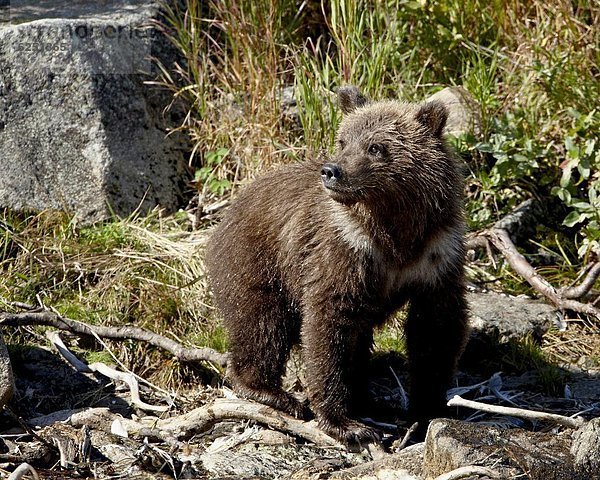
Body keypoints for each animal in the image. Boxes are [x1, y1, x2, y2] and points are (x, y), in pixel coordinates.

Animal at [206, 87, 468, 446]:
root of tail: (226, 213)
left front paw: (427, 408)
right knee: (262, 323)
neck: (394, 232)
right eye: (343, 140)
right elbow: (328, 324)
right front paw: (346, 423)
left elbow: (435, 328)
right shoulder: (344, 249)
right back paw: (272, 392)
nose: (332, 171)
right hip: (258, 260)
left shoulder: (436, 256)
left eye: (375, 147)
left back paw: (366, 399)